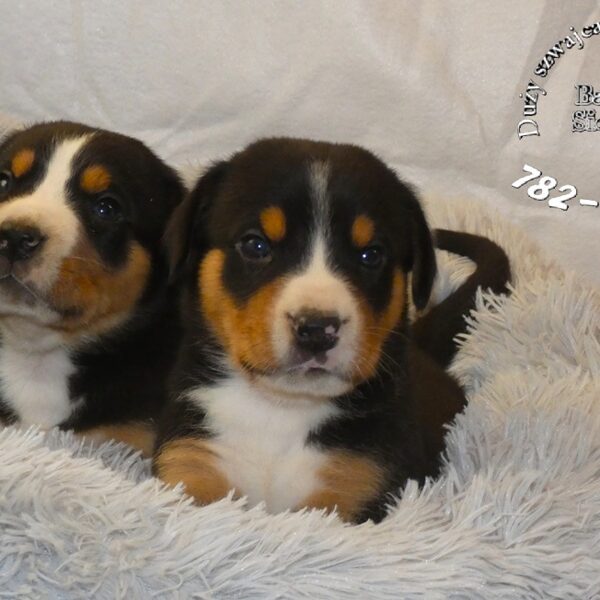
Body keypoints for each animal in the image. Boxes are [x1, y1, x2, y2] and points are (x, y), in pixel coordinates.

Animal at [153, 137, 510, 522]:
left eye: (371, 255)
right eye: (255, 245)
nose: (316, 329)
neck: (279, 412)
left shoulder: (359, 483)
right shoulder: (190, 460)